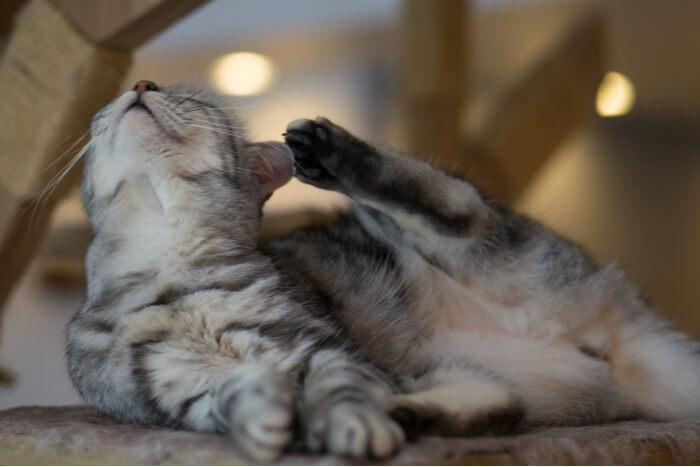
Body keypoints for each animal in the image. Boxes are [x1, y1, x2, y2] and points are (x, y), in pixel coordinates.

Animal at [65, 82, 700, 462]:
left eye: (193, 98)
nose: (143, 83)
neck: (167, 275)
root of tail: (617, 335)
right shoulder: (184, 395)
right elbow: (236, 397)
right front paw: (268, 421)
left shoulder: (319, 347)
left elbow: (341, 389)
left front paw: (348, 424)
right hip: (457, 374)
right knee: (494, 406)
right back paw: (391, 413)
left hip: (462, 242)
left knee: (455, 206)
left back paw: (328, 151)